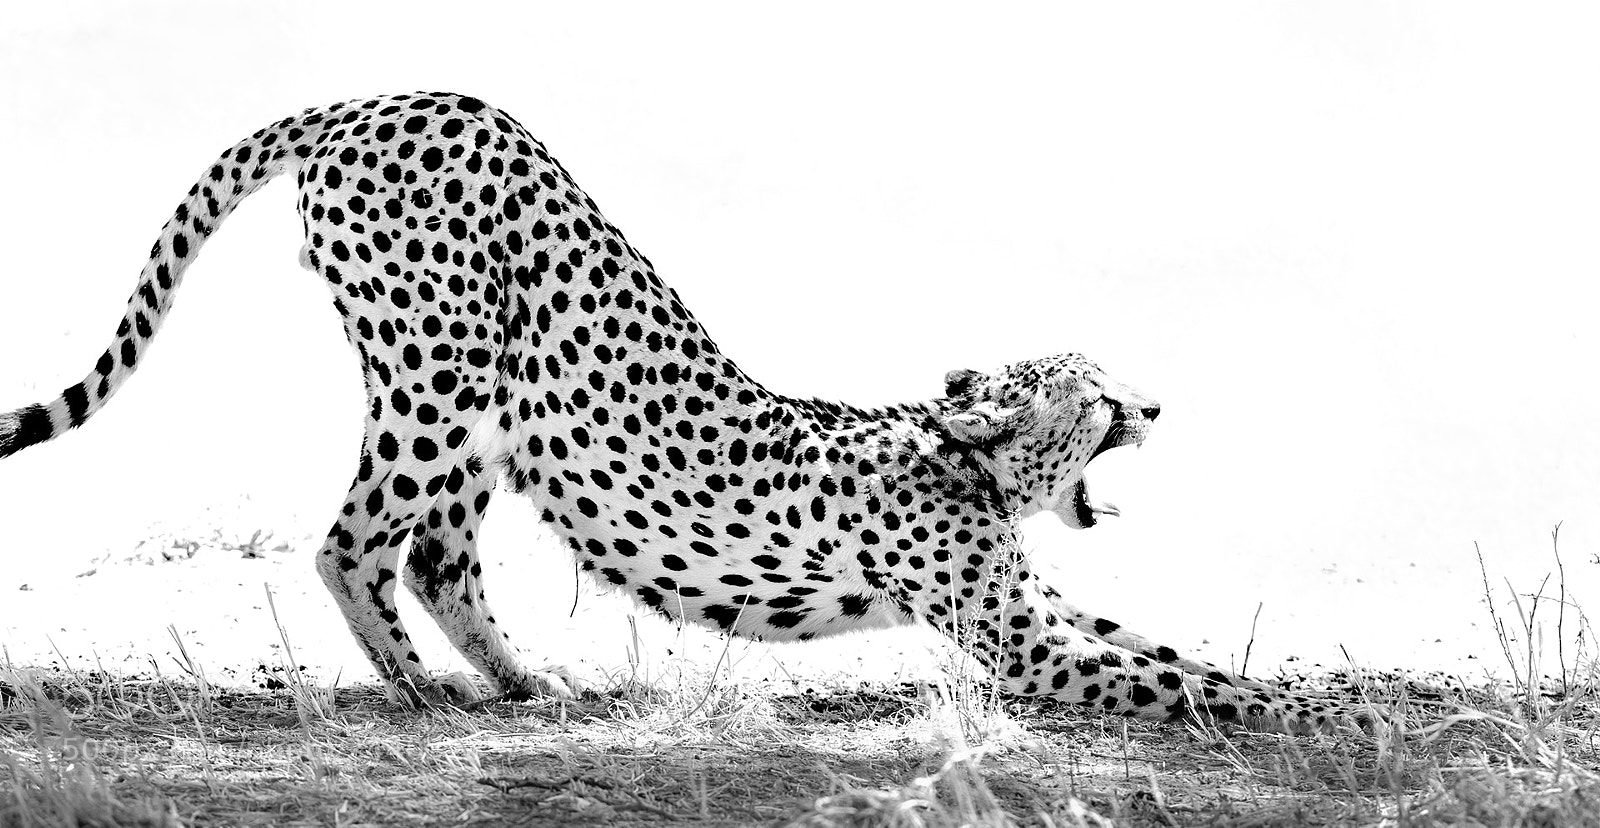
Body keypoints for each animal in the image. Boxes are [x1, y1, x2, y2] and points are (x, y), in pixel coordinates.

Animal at [0, 92, 1374, 734]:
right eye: (1094, 400)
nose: (1156, 403)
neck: (963, 466)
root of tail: (380, 97)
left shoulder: (1039, 609)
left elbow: (1176, 655)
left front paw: (1329, 696)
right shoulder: (1020, 642)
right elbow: (1175, 685)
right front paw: (1312, 715)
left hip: (496, 401)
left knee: (439, 552)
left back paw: (523, 682)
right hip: (439, 373)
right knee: (354, 541)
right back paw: (424, 693)